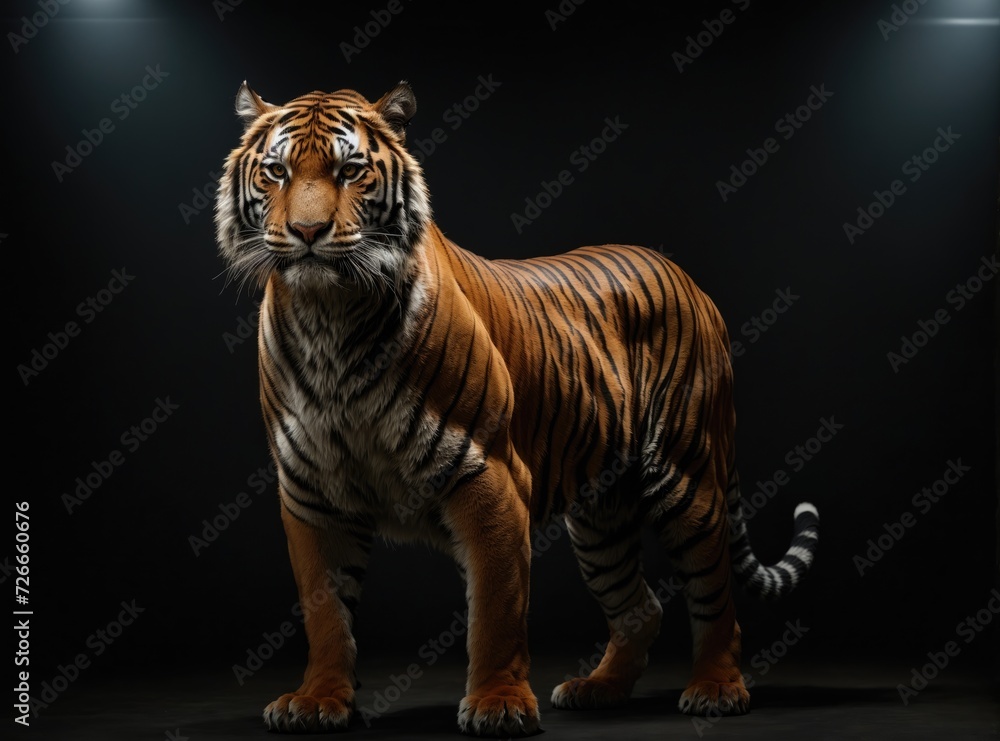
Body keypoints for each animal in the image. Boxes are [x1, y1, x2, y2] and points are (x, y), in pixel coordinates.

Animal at [214, 79, 820, 737]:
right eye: (276, 172)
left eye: (350, 171)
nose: (307, 231)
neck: (330, 318)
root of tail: (688, 279)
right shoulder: (312, 491)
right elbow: (325, 613)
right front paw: (317, 700)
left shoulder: (488, 474)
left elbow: (496, 608)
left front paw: (497, 704)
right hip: (601, 516)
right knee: (642, 606)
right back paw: (597, 689)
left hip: (687, 478)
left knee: (715, 598)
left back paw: (715, 689)